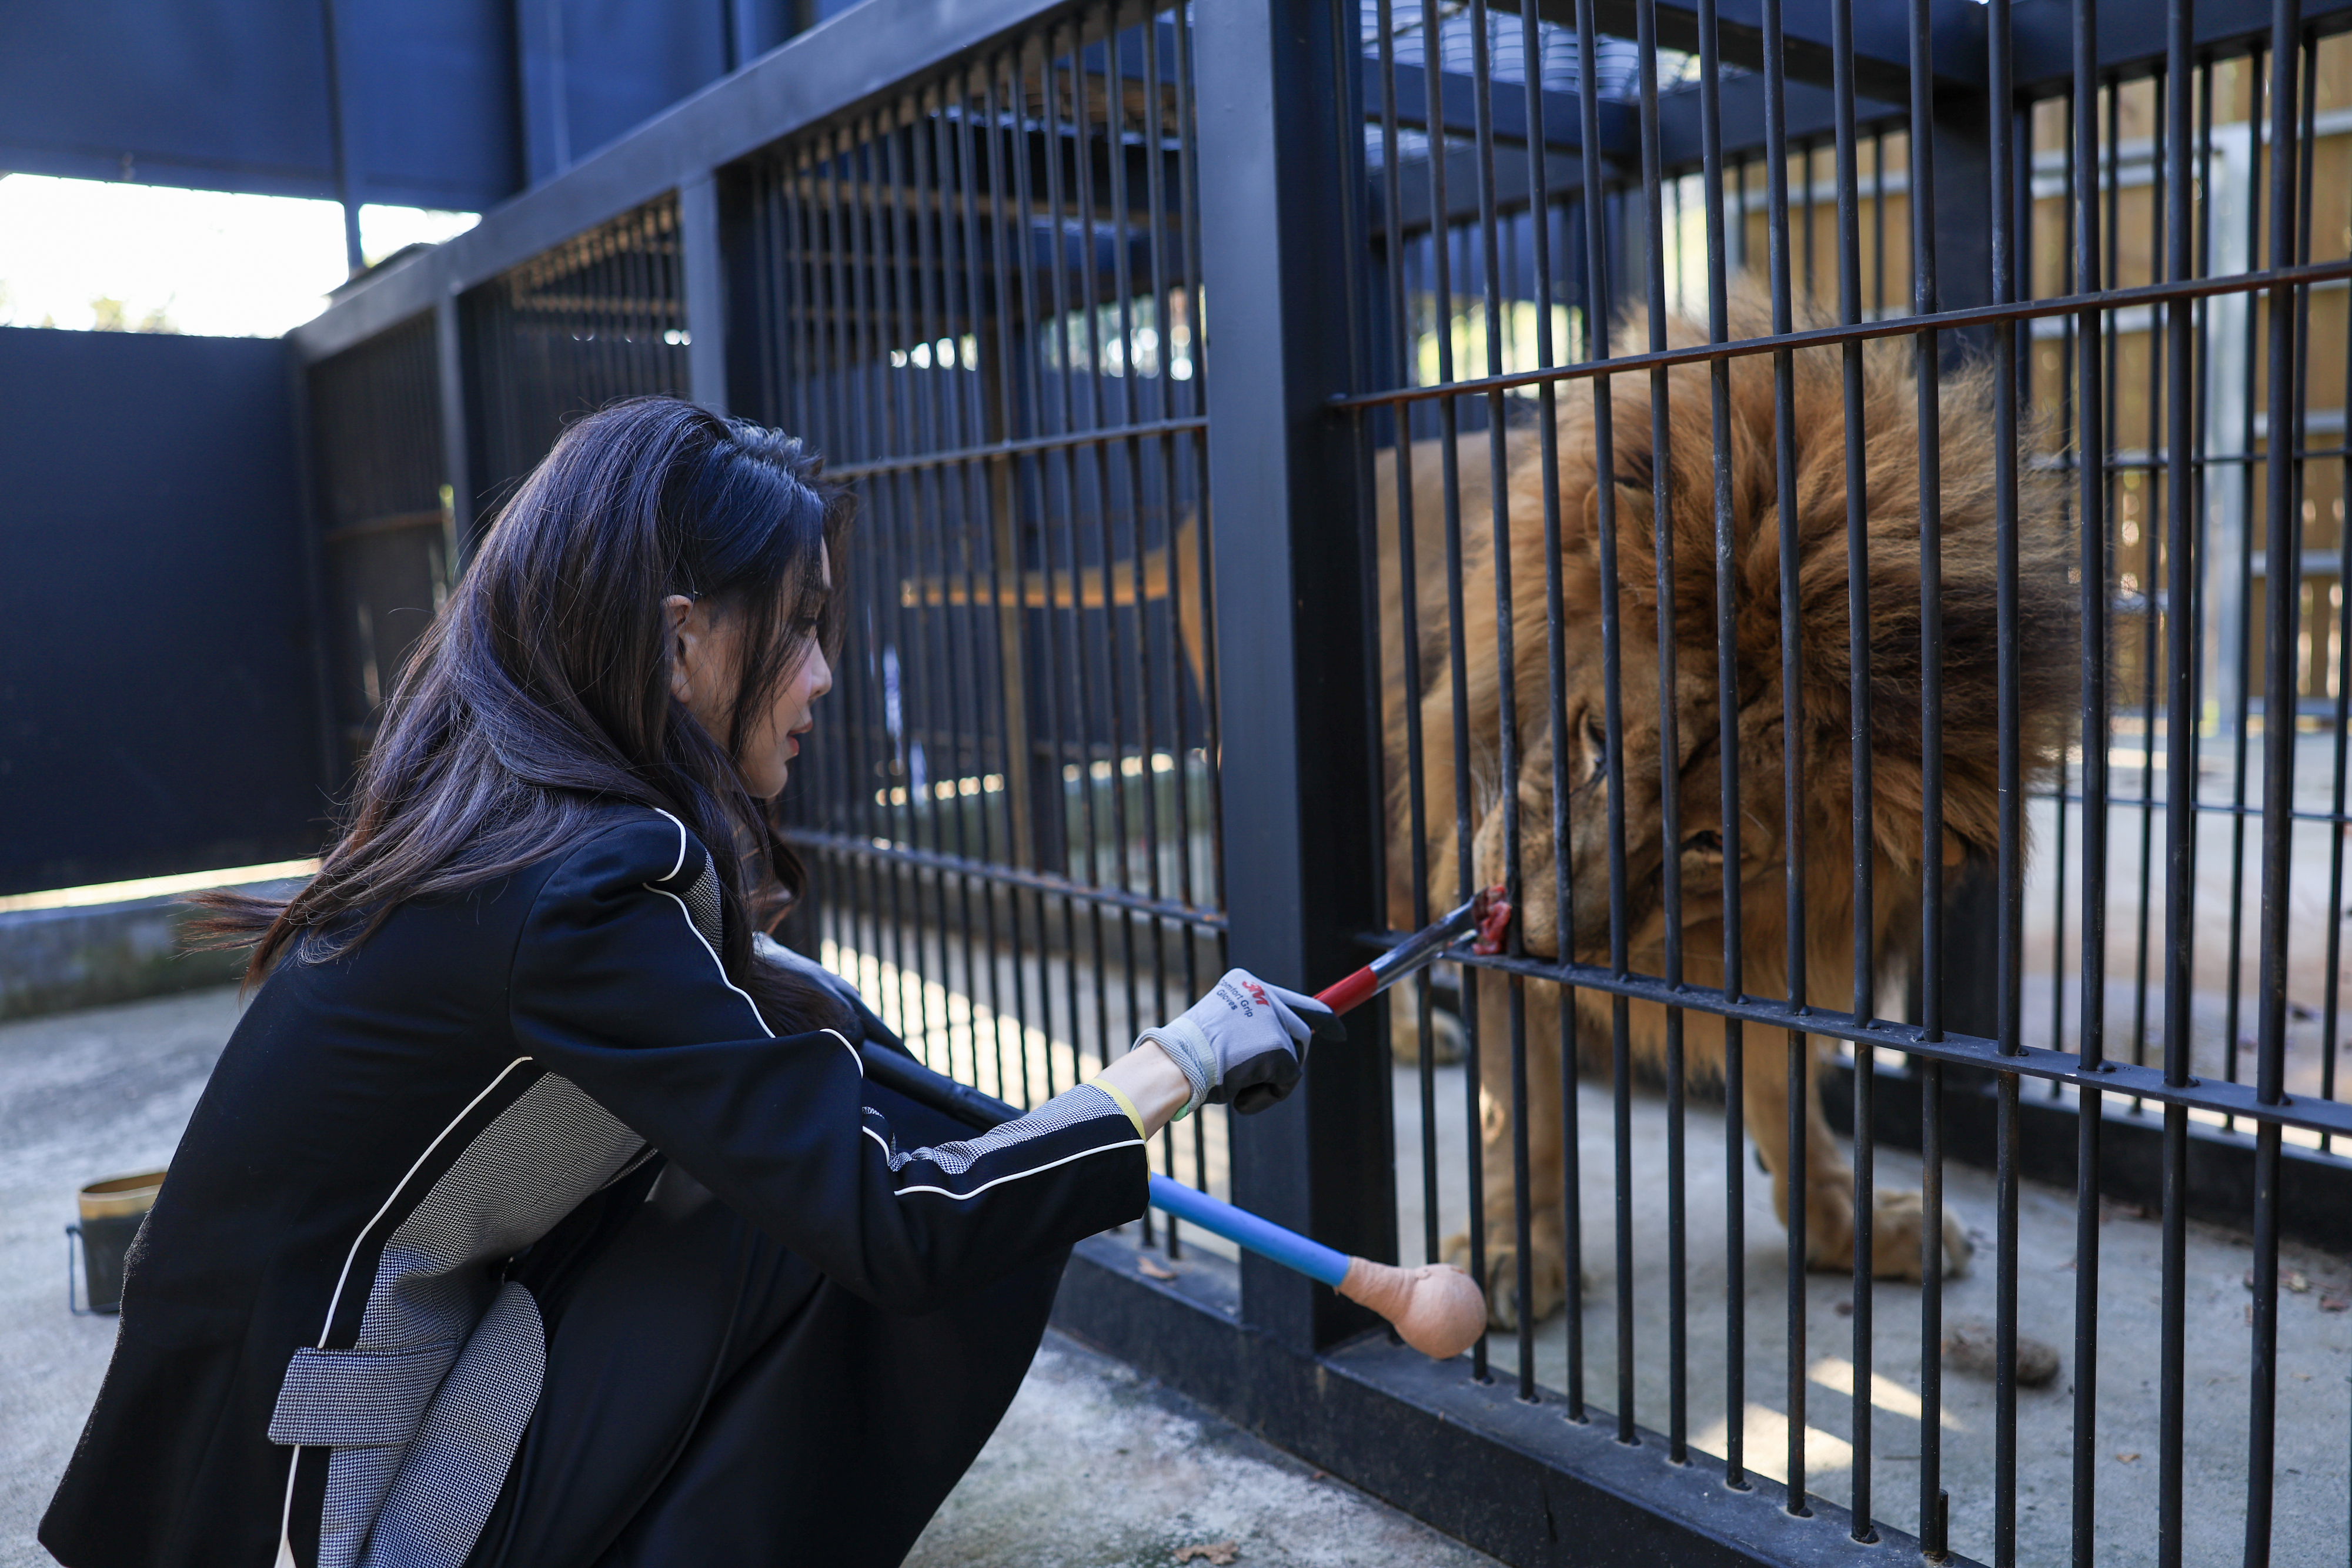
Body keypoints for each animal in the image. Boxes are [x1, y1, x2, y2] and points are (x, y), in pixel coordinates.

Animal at [1374, 291, 2079, 1326]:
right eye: (1596, 737)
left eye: (1710, 842)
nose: (1544, 936)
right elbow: (1524, 1105)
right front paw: (1514, 1244)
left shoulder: (1777, 944)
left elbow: (1790, 1091)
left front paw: (1848, 1223)